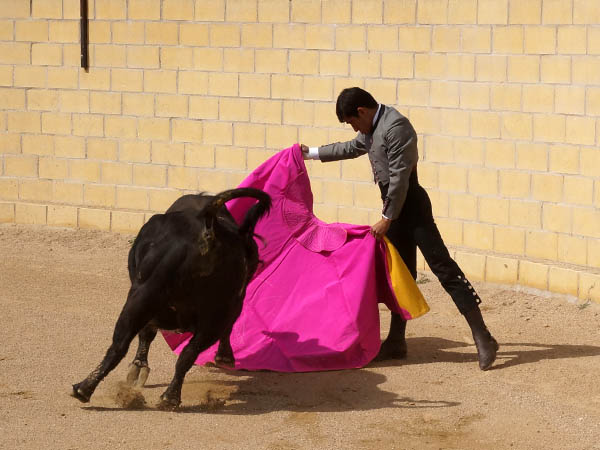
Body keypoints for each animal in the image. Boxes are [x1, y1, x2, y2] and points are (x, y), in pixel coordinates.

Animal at [71, 188, 274, 410]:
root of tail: (208, 233)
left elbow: (146, 333)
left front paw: (138, 367)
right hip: (216, 312)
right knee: (187, 352)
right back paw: (169, 397)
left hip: (146, 297)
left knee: (120, 345)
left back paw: (85, 389)